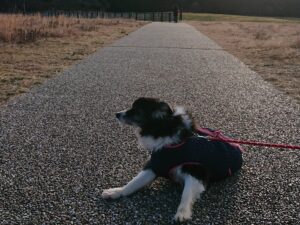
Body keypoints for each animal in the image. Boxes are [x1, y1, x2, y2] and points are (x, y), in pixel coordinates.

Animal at [102, 97, 243, 222]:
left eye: (136, 110)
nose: (117, 114)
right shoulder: (156, 165)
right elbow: (133, 183)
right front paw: (116, 192)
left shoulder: (196, 171)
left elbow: (186, 193)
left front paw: (182, 213)